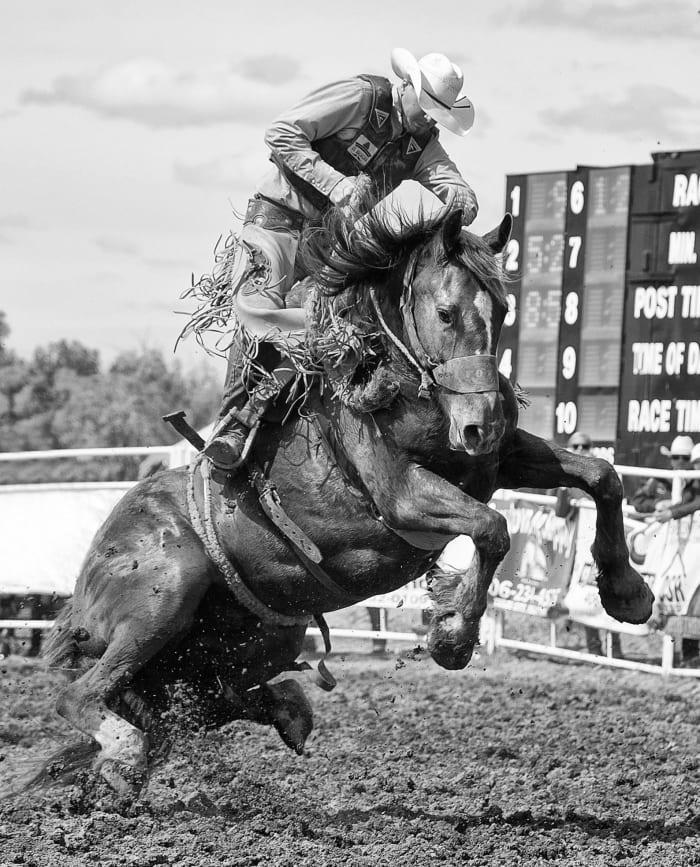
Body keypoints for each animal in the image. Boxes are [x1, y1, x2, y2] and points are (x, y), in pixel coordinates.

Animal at [24, 200, 652, 796]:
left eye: (502, 312)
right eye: (446, 313)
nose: (483, 423)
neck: (399, 387)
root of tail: (79, 597)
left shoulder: (498, 460)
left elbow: (602, 475)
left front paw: (626, 592)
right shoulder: (404, 495)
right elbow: (493, 528)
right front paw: (451, 636)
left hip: (257, 640)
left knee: (203, 702)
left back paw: (280, 712)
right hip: (166, 594)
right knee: (83, 698)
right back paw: (125, 752)